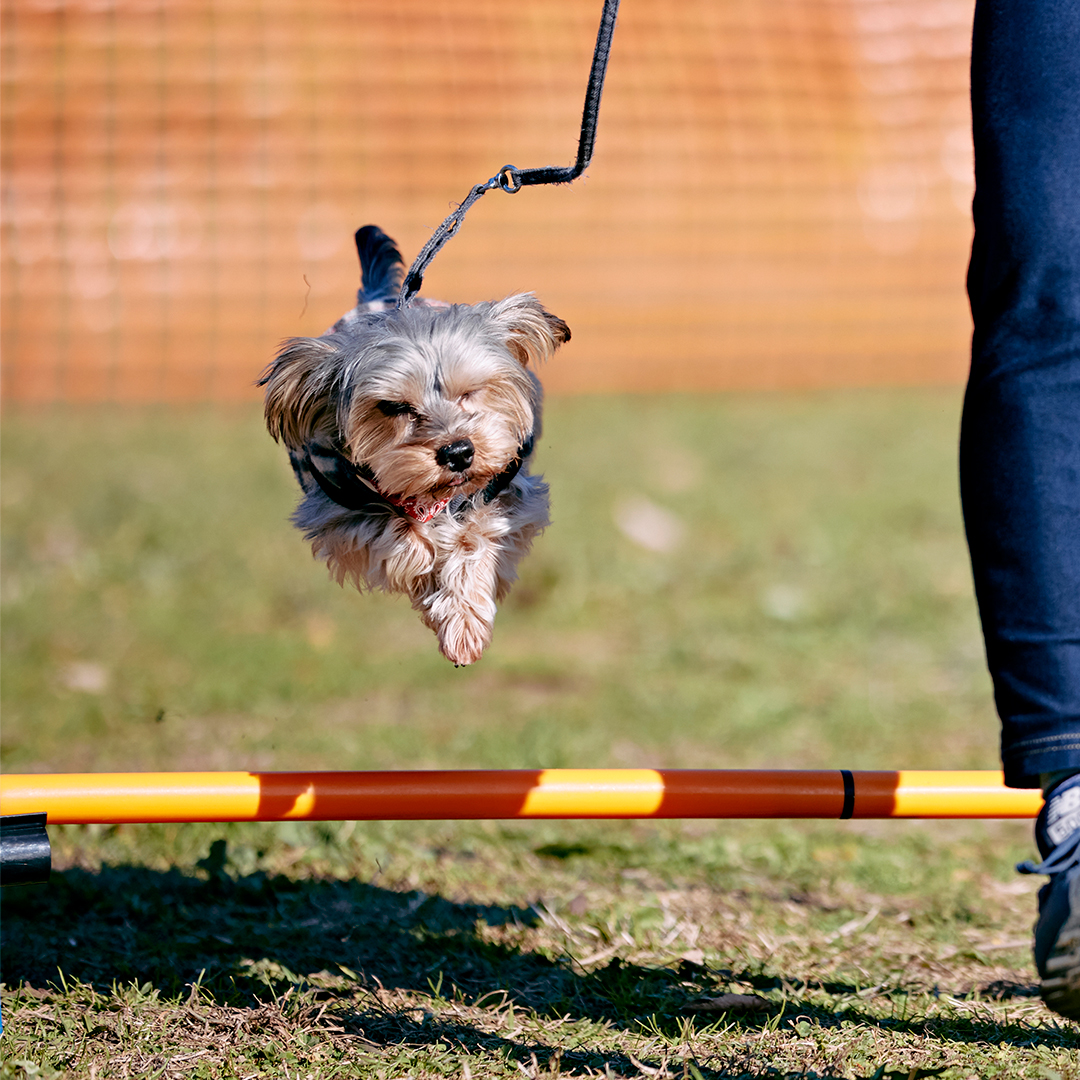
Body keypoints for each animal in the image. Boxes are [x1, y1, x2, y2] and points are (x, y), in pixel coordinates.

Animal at [260, 225, 570, 665]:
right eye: (393, 407)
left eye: (471, 391)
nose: (458, 452)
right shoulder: (336, 512)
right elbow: (398, 535)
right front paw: (422, 560)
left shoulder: (506, 491)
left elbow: (474, 536)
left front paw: (463, 625)